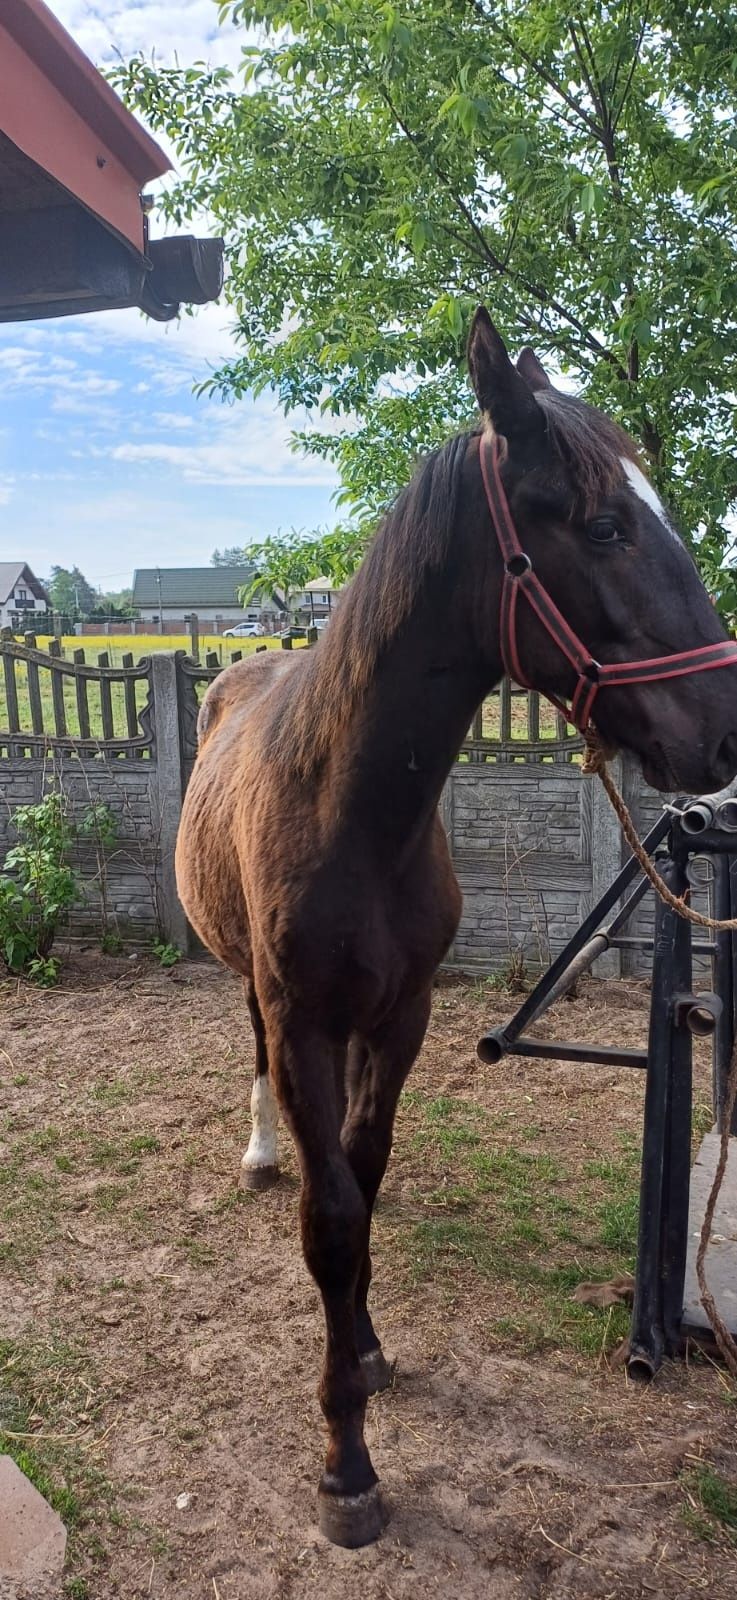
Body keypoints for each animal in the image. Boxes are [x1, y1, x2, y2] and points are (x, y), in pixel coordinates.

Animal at [175, 305, 735, 1542]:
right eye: (602, 522)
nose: (724, 733)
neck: (352, 813)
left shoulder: (402, 1018)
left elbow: (365, 1175)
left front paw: (367, 1349)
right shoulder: (305, 1024)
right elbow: (330, 1217)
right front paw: (345, 1463)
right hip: (253, 990)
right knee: (248, 1052)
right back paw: (257, 1151)